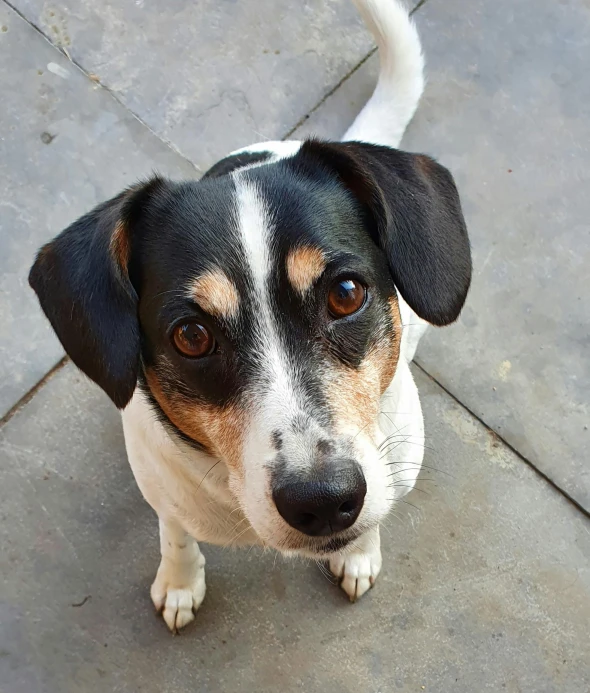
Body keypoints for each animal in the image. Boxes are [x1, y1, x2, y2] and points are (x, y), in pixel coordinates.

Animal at [30, 0, 472, 632]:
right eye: (191, 335)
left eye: (346, 293)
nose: (323, 500)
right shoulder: (163, 490)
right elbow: (175, 533)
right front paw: (180, 583)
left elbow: (378, 513)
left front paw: (360, 553)